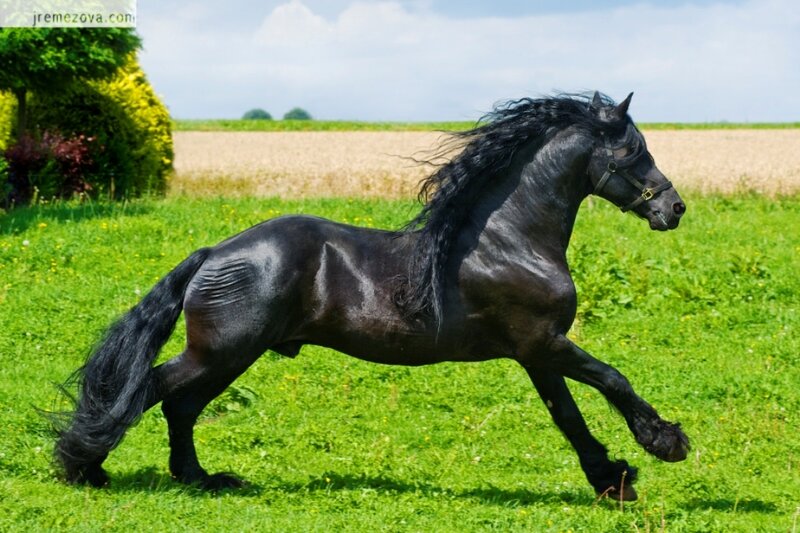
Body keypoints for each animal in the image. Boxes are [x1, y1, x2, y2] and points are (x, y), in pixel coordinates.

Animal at [55, 92, 689, 502]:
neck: (509, 241)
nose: (674, 208)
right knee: (149, 391)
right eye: (633, 150)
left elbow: (568, 414)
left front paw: (613, 480)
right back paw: (84, 467)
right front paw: (665, 444)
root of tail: (211, 254)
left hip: (231, 355)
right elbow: (612, 380)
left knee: (179, 404)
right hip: (223, 350)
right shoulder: (543, 343)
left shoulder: (536, 352)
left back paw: (202, 480)